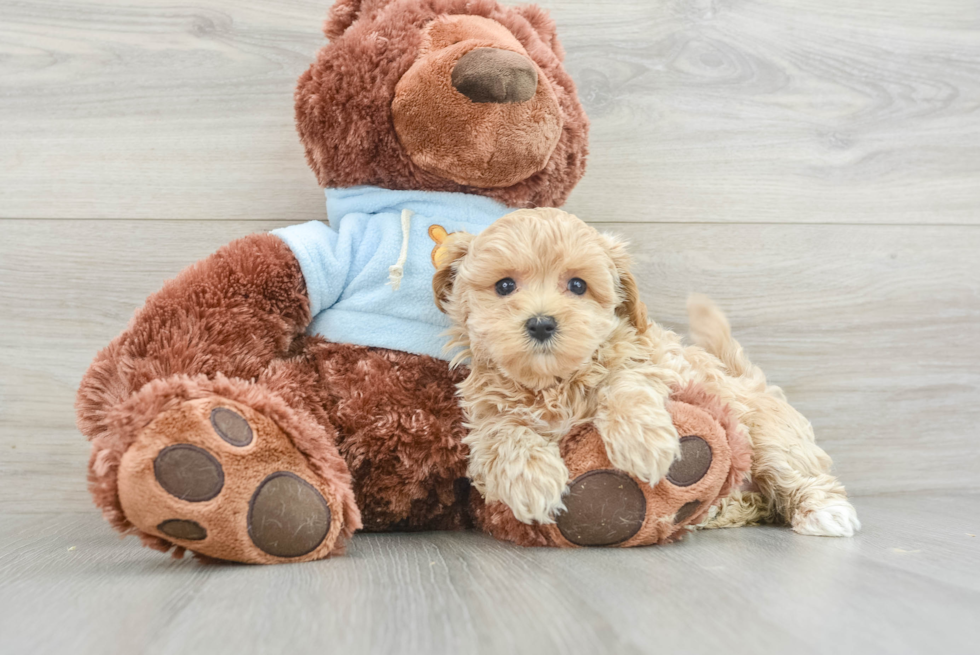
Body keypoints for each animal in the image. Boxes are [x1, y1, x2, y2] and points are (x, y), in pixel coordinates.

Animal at [434, 208, 856, 536]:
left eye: (578, 285)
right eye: (505, 285)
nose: (541, 323)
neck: (554, 383)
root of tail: (752, 382)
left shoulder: (656, 363)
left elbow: (627, 382)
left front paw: (643, 443)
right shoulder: (485, 414)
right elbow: (503, 433)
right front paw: (531, 482)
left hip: (768, 434)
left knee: (796, 472)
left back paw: (824, 511)